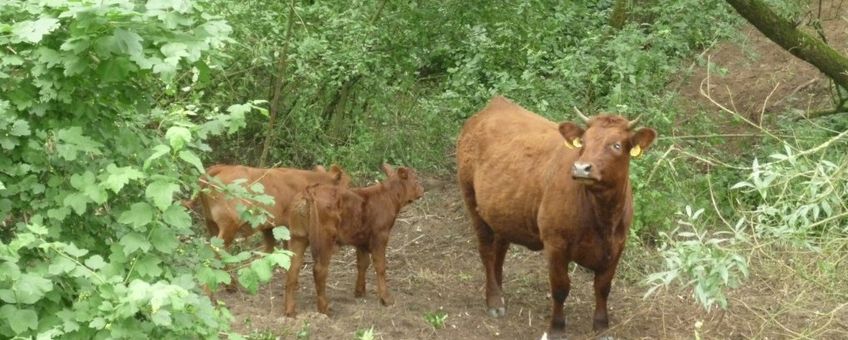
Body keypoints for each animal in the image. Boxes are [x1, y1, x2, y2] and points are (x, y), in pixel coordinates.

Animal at [286, 164, 424, 316]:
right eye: (416, 180)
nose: (422, 189)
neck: (388, 197)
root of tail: (310, 190)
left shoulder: (361, 240)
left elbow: (362, 263)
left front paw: (360, 291)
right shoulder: (380, 236)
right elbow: (380, 266)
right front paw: (386, 298)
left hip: (298, 237)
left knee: (292, 268)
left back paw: (289, 310)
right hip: (324, 238)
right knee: (319, 270)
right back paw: (324, 308)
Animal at [458, 95, 656, 334]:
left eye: (616, 145)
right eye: (584, 143)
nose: (581, 168)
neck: (603, 217)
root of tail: (496, 104)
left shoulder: (617, 245)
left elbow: (603, 287)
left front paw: (601, 326)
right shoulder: (555, 243)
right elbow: (561, 287)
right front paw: (557, 327)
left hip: (503, 210)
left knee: (500, 248)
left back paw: (499, 289)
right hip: (471, 199)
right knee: (486, 250)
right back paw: (494, 301)